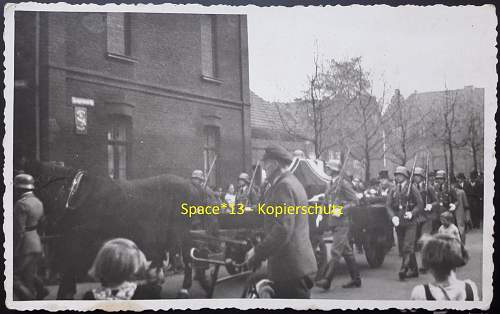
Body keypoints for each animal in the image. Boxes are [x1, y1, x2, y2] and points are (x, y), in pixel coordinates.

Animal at [23, 159, 207, 300]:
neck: (74, 193)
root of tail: (192, 186)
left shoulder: (77, 239)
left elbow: (70, 266)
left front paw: (65, 293)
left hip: (183, 232)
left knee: (188, 257)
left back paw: (184, 288)